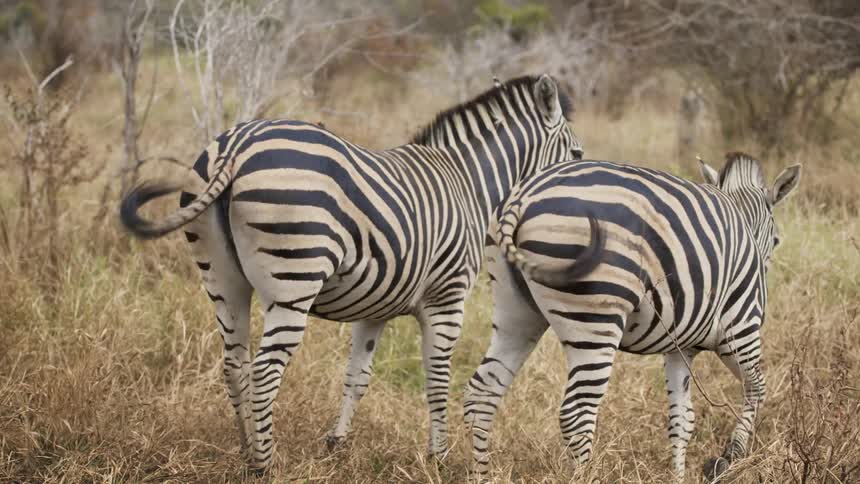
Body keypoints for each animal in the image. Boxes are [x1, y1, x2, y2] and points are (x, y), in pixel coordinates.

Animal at [119, 75, 584, 470]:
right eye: (577, 154)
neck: (469, 183)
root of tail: (239, 143)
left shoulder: (375, 306)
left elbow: (357, 375)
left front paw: (336, 443)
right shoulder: (447, 298)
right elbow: (437, 380)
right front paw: (439, 456)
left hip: (221, 279)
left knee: (235, 365)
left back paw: (246, 450)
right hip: (293, 278)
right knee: (265, 371)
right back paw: (265, 465)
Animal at [464, 153, 800, 481]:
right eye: (777, 240)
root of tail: (523, 196)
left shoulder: (680, 346)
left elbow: (682, 419)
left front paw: (679, 477)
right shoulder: (740, 327)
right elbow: (756, 389)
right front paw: (729, 457)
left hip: (516, 313)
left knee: (481, 394)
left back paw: (481, 476)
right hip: (595, 318)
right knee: (577, 414)